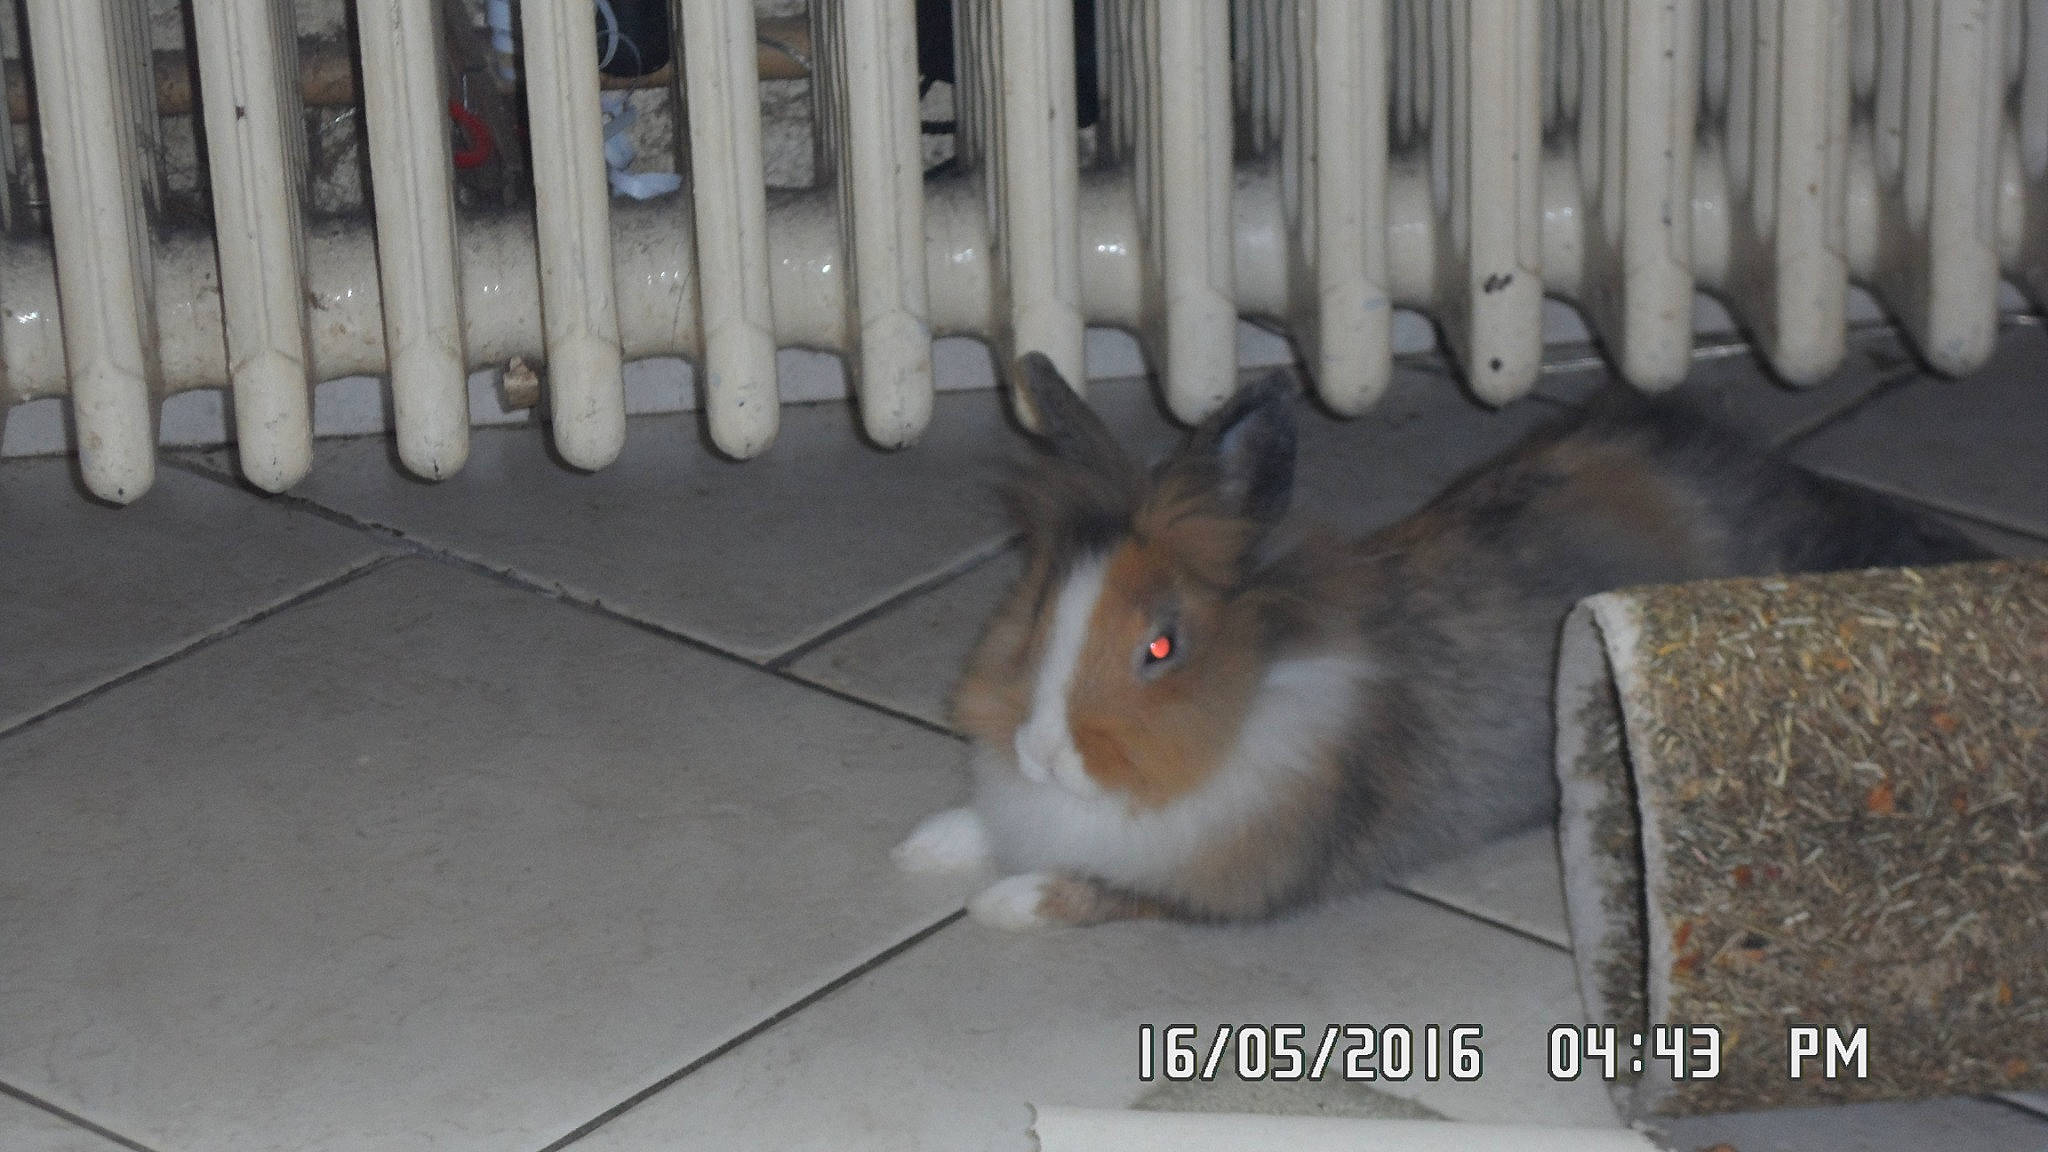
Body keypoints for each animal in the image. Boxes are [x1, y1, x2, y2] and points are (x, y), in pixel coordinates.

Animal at [894, 354, 1990, 929]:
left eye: (1161, 650)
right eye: (1038, 611)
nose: (1042, 751)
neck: (1254, 694)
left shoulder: (1219, 892)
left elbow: (1096, 891)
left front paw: (1002, 904)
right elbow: (983, 824)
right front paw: (927, 845)